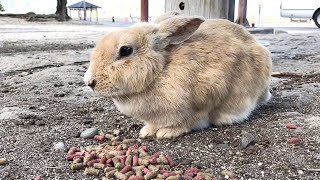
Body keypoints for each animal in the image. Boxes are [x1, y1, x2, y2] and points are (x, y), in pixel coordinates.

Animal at [84, 14, 272, 140]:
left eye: (125, 50)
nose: (90, 82)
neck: (161, 70)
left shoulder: (204, 101)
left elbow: (189, 121)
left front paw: (167, 132)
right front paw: (147, 131)